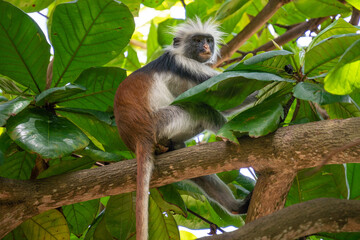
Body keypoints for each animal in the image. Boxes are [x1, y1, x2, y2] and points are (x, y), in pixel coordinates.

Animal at [115, 18, 250, 240]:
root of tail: (137, 136)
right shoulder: (183, 65)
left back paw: (235, 206)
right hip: (163, 122)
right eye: (197, 40)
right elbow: (225, 92)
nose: (205, 48)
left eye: (208, 40)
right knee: (202, 109)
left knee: (196, 171)